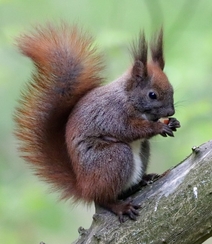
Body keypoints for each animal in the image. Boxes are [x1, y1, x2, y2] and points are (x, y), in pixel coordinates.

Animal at [14, 23, 181, 222]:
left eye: (172, 89)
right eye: (152, 94)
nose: (171, 112)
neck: (128, 97)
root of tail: (84, 187)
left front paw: (173, 122)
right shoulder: (112, 114)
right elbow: (129, 130)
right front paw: (159, 126)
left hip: (140, 152)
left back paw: (143, 180)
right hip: (113, 158)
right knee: (102, 199)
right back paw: (119, 206)